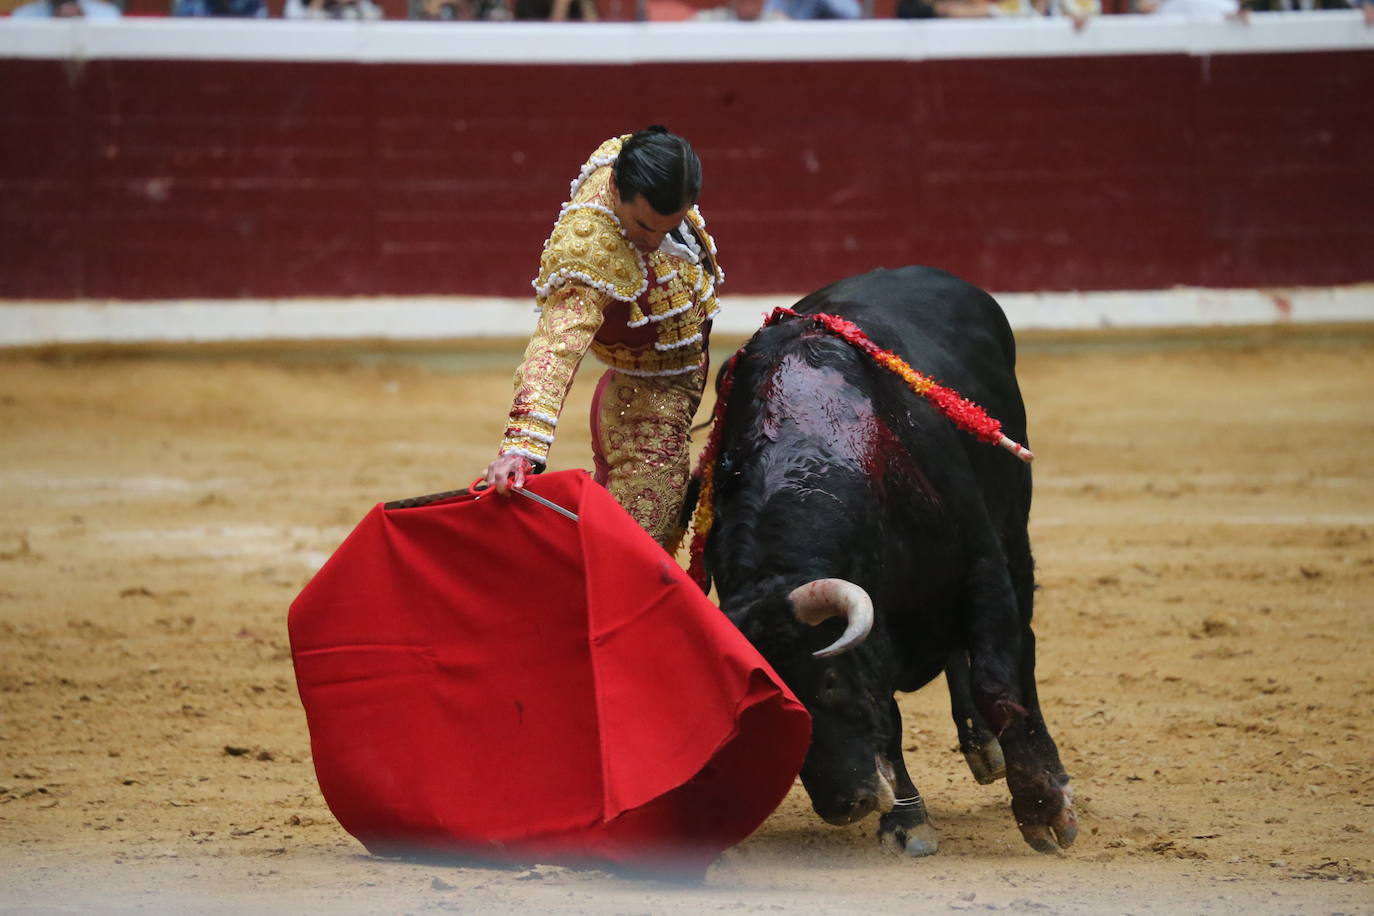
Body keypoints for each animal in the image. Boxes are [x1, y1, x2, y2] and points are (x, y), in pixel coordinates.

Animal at [703, 269, 1077, 856]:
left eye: (828, 682)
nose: (844, 806)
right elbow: (889, 712)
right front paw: (907, 820)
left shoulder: (981, 570)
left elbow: (998, 684)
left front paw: (1043, 809)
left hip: (1015, 530)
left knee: (1023, 651)